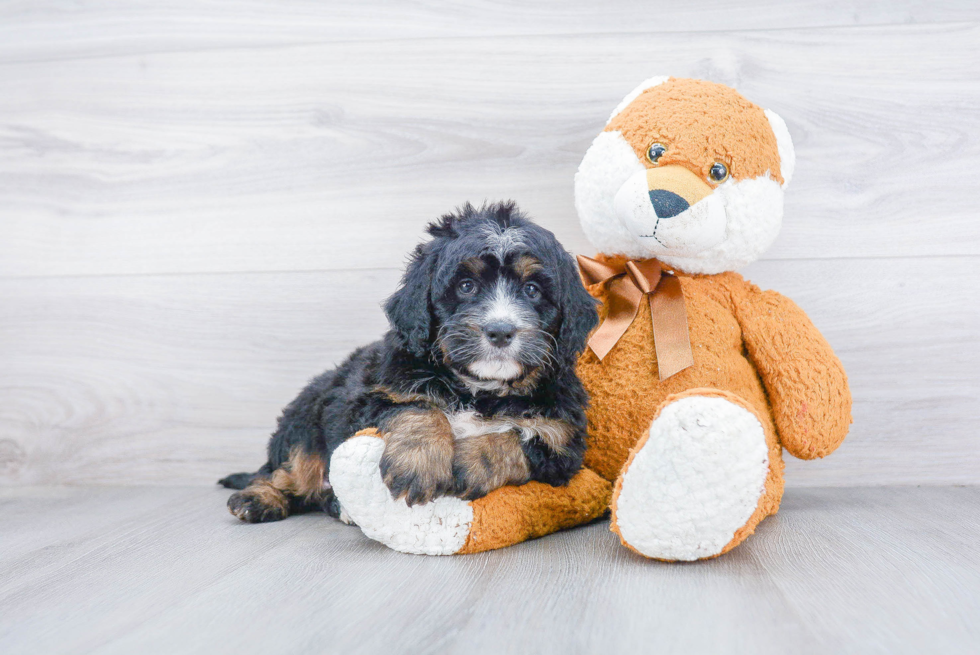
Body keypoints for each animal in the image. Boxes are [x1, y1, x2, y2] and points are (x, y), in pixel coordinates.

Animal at [220, 202, 596, 524]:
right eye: (466, 286)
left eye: (532, 290)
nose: (501, 331)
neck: (477, 389)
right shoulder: (376, 393)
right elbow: (416, 407)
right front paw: (420, 462)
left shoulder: (563, 436)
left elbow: (517, 439)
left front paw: (466, 462)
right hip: (306, 419)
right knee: (287, 469)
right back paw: (258, 498)